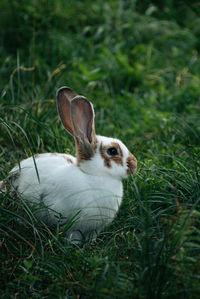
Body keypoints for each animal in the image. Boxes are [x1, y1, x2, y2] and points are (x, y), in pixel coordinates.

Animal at [0, 86, 138, 244]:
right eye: (113, 150)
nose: (135, 164)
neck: (92, 174)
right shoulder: (73, 227)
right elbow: (73, 236)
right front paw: (75, 246)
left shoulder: (95, 229)